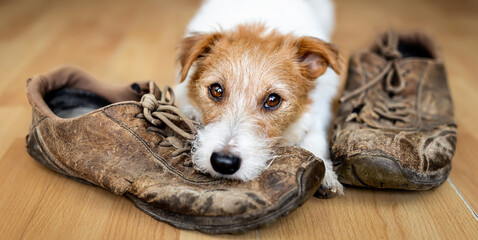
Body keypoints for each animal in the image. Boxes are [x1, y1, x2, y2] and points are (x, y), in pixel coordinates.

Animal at [176, 0, 344, 195]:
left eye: (273, 100)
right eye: (216, 90)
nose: (223, 162)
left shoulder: (316, 110)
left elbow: (314, 136)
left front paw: (326, 175)